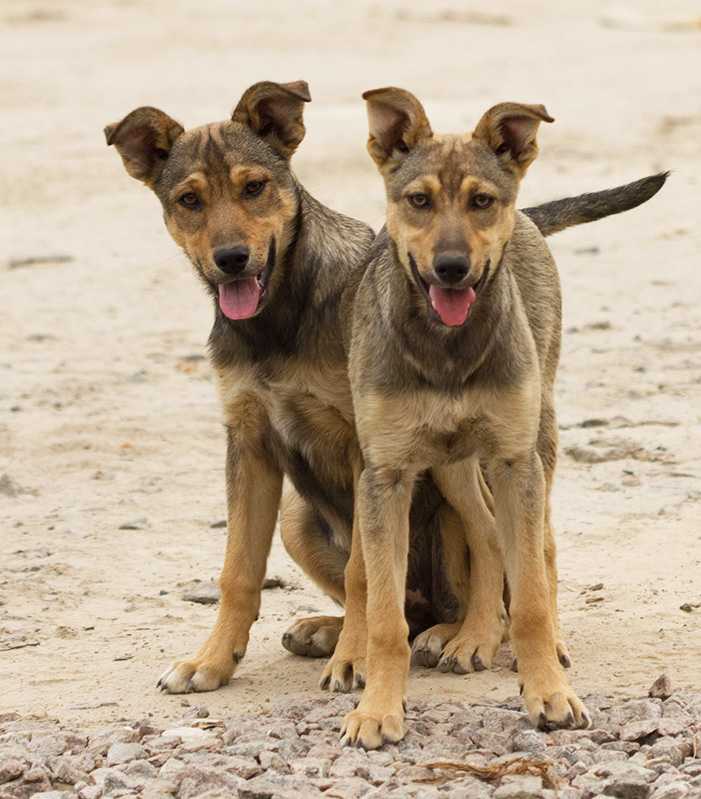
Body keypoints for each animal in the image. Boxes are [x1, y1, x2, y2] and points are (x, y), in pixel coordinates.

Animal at [340, 89, 668, 752]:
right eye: (418, 201)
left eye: (482, 201)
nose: (451, 267)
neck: (446, 346)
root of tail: (531, 219)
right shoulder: (385, 476)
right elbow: (385, 616)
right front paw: (378, 708)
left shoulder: (516, 462)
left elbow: (534, 596)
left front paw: (549, 694)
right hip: (454, 465)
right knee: (488, 533)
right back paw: (473, 637)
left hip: (534, 438)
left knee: (539, 545)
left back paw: (527, 643)